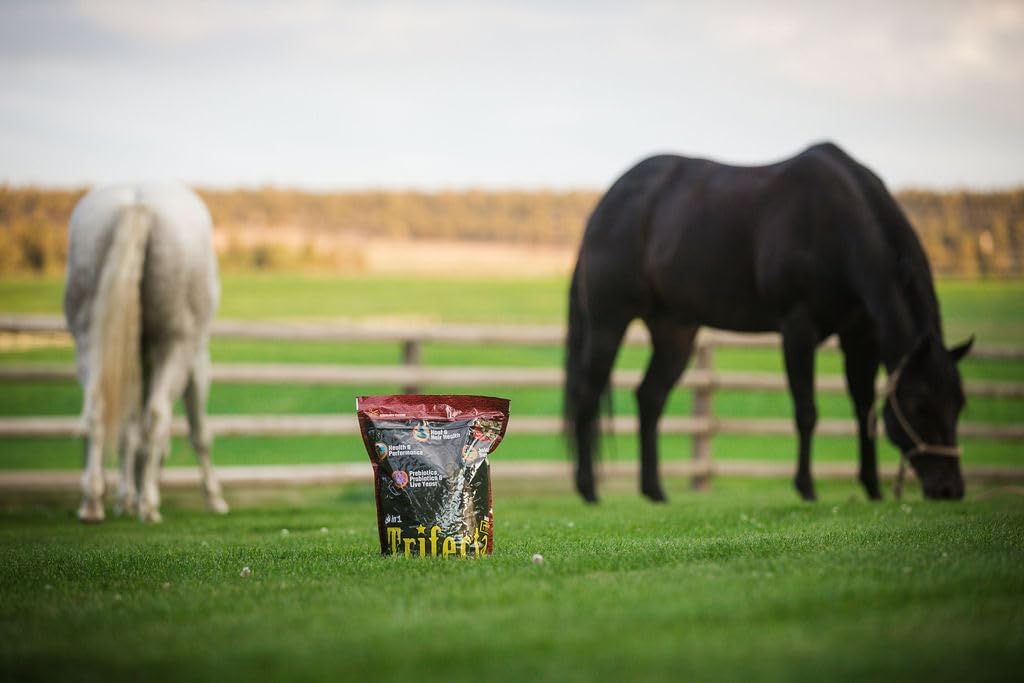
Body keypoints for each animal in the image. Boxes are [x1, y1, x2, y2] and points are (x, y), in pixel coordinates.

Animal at [64, 182, 229, 522]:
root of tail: (137, 202)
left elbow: (129, 432)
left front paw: (127, 495)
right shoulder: (197, 363)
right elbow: (199, 433)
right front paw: (214, 498)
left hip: (90, 338)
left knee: (97, 410)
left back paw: (92, 502)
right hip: (176, 344)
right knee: (155, 416)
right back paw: (149, 506)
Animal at [564, 142, 972, 503]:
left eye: (959, 403)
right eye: (919, 405)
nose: (949, 490)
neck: (837, 222)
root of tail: (604, 206)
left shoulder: (861, 336)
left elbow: (864, 408)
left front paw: (872, 488)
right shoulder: (798, 328)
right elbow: (806, 411)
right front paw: (806, 488)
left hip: (675, 331)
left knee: (649, 397)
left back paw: (654, 491)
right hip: (608, 323)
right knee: (587, 394)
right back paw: (588, 489)